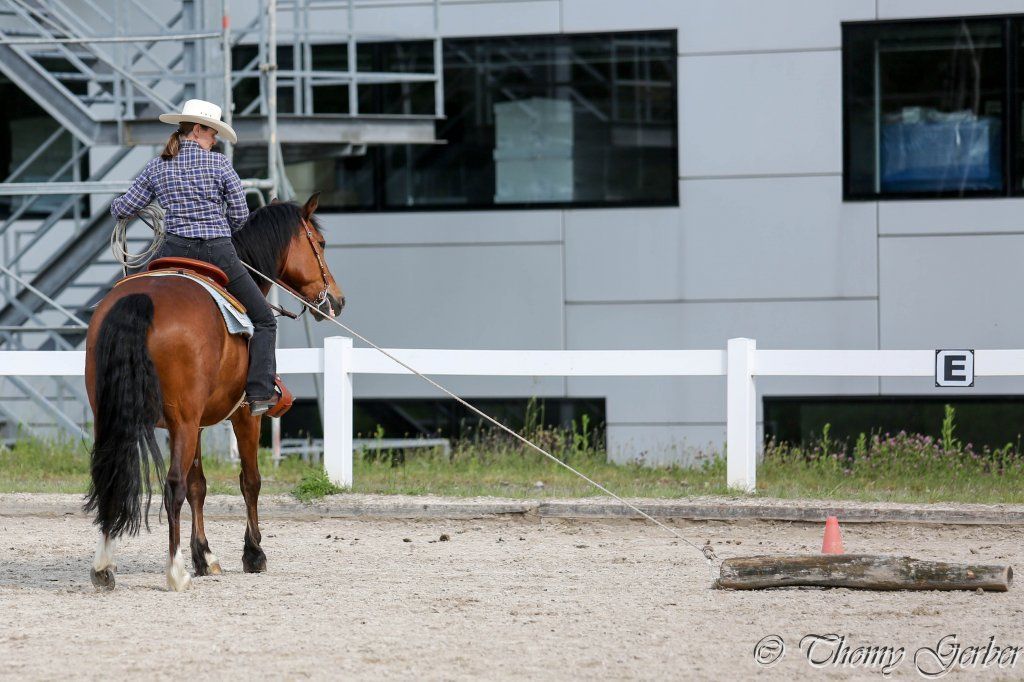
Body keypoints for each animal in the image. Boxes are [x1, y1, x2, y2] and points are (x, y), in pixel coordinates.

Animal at [83, 192, 344, 592]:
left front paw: (204, 555)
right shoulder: (244, 415)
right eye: (322, 243)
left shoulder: (197, 424)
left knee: (111, 474)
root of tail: (141, 299)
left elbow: (199, 485)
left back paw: (103, 567)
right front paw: (253, 554)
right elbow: (249, 481)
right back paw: (175, 571)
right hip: (183, 421)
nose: (337, 301)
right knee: (172, 485)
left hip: (116, 417)